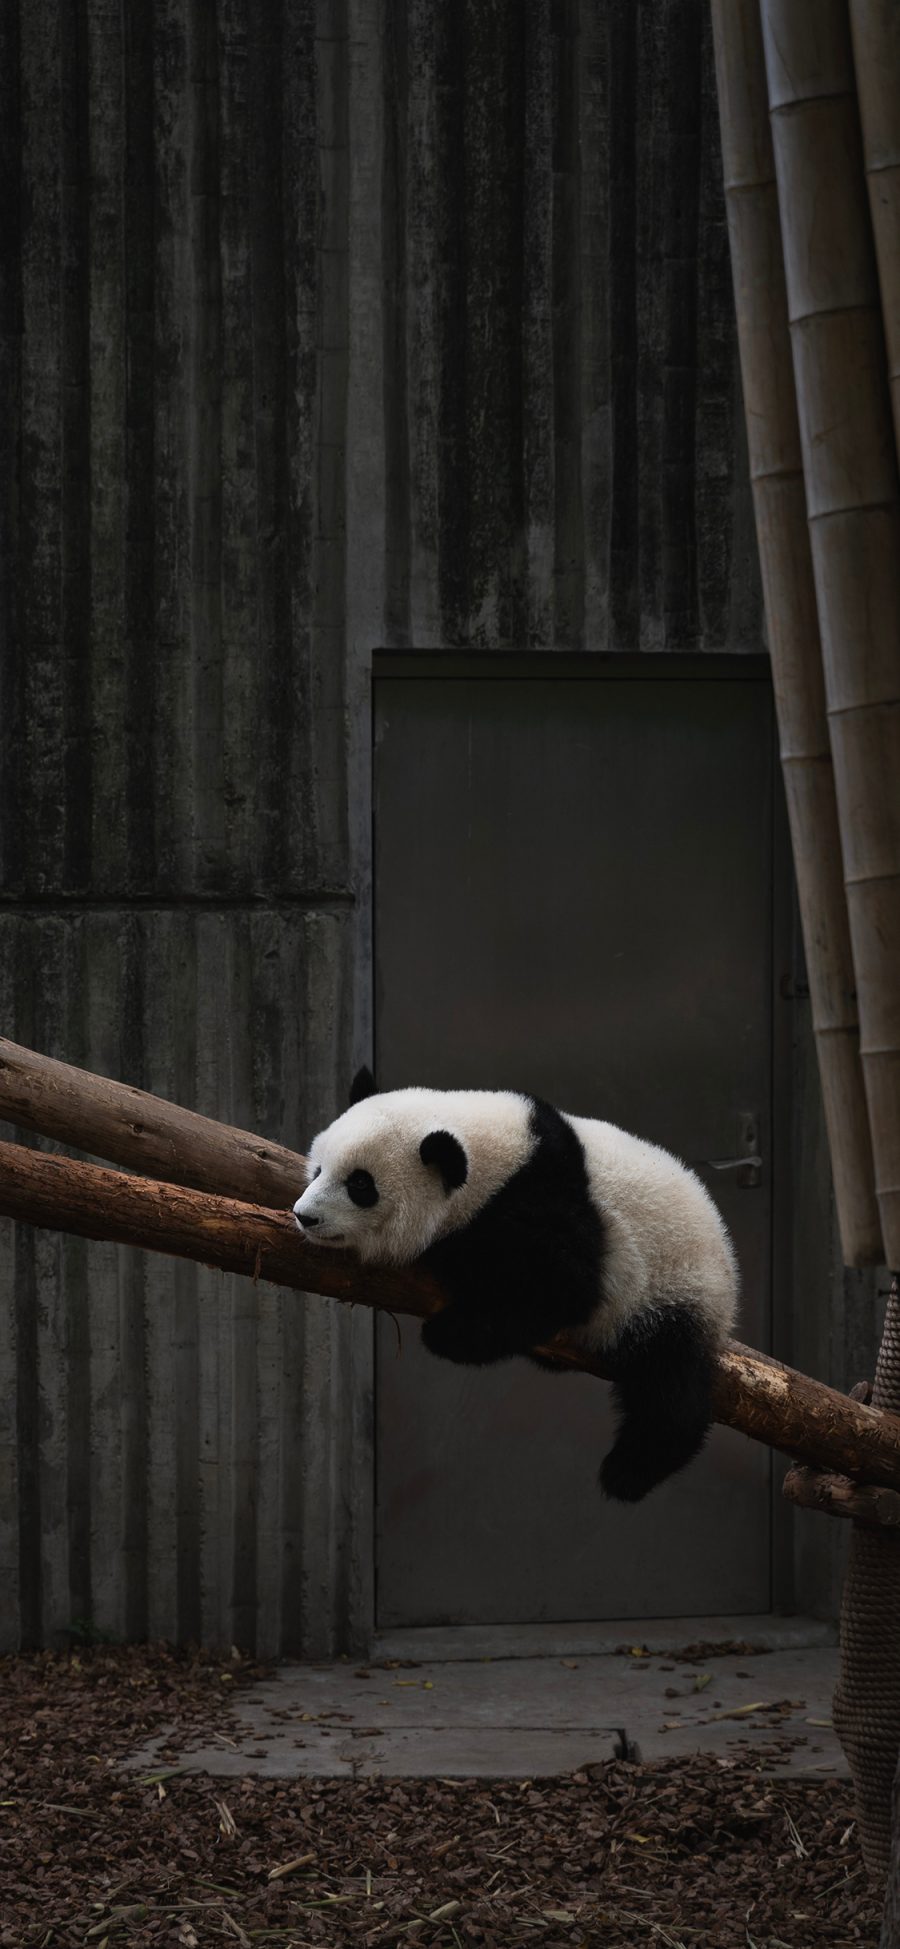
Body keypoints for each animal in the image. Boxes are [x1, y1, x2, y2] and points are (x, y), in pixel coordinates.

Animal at [292, 1068, 736, 1504]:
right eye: (319, 1169)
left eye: (360, 1185)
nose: (304, 1216)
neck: (500, 1159)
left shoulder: (544, 1204)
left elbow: (562, 1288)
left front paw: (449, 1329)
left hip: (672, 1289)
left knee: (668, 1385)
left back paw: (630, 1470)